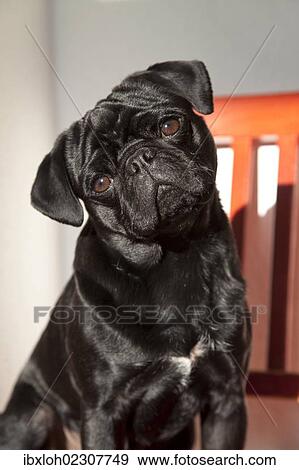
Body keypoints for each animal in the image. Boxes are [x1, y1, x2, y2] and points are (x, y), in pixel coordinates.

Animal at [0, 60, 251, 450]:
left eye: (170, 126)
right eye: (101, 183)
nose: (139, 159)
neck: (175, 258)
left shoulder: (227, 398)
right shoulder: (103, 413)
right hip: (29, 421)